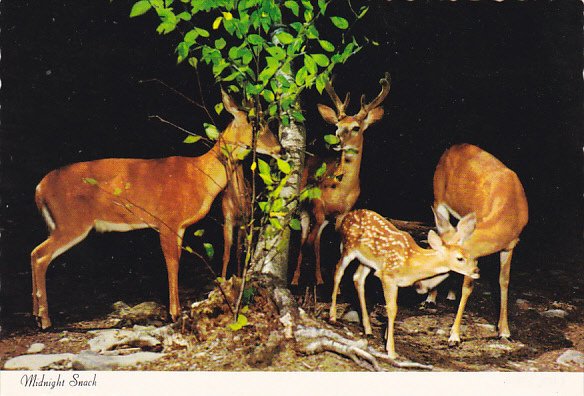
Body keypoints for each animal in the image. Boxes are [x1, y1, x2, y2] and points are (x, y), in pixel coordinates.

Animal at [30, 91, 282, 330]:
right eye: (257, 124)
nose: (280, 149)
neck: (199, 177)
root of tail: (39, 189)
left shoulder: (179, 226)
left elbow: (176, 260)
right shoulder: (167, 220)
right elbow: (172, 263)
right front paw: (175, 313)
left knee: (34, 253)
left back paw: (36, 316)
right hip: (71, 222)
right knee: (40, 255)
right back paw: (45, 321)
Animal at [292, 72, 392, 286]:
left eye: (355, 128)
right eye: (337, 126)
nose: (336, 141)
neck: (342, 188)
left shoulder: (342, 213)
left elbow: (338, 247)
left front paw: (334, 282)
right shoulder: (318, 206)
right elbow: (311, 242)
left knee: (315, 239)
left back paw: (318, 278)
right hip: (304, 209)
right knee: (306, 239)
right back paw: (297, 278)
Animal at [328, 209, 480, 360]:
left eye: (470, 255)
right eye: (460, 258)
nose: (476, 271)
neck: (411, 261)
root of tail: (346, 216)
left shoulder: (397, 282)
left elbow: (394, 309)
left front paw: (386, 338)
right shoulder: (387, 276)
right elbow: (392, 309)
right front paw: (391, 351)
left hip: (366, 261)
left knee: (358, 278)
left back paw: (368, 329)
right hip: (348, 246)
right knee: (338, 271)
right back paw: (332, 317)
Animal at [416, 144, 528, 344]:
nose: (419, 286)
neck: (509, 213)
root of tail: (450, 149)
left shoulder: (510, 246)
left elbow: (503, 281)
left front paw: (504, 331)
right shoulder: (475, 252)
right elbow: (468, 288)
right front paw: (454, 335)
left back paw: (450, 295)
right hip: (438, 200)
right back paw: (431, 299)